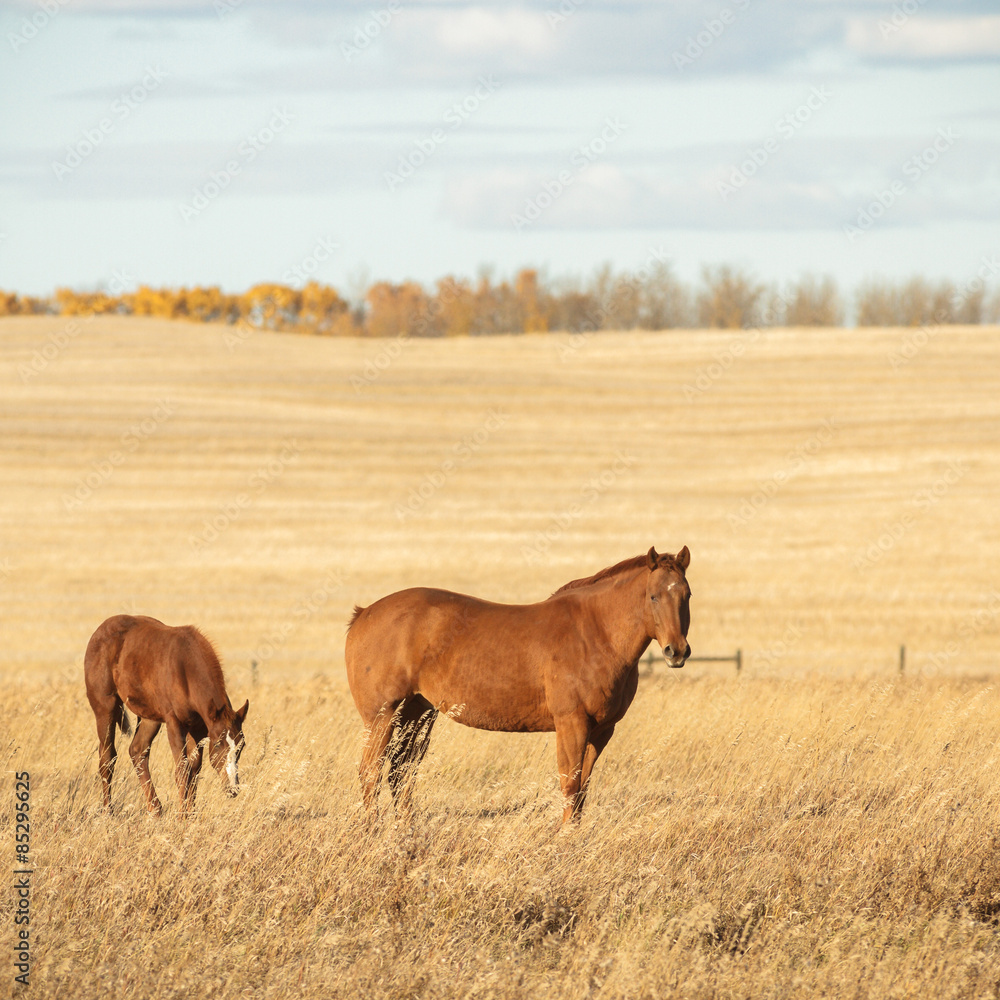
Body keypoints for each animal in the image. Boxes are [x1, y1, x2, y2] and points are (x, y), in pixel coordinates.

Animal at [84, 615, 249, 817]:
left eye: (242, 744)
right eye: (218, 744)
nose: (233, 788)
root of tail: (100, 631)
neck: (186, 668)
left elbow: (193, 769)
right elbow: (182, 771)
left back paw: (155, 810)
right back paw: (108, 812)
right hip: (105, 708)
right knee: (107, 757)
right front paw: (182, 817)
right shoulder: (174, 724)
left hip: (150, 717)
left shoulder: (198, 729)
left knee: (137, 751)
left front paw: (191, 814)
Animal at [345, 545, 691, 826]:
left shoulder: (602, 730)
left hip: (417, 713)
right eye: (653, 596)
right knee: (371, 773)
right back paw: (373, 832)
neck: (595, 632)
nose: (676, 651)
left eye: (686, 595)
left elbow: (582, 788)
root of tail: (364, 614)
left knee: (400, 774)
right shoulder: (571, 723)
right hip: (382, 716)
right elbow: (570, 784)